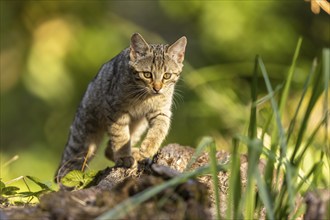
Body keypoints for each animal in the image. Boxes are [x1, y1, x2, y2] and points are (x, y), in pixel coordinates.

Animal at [55, 32, 187, 183]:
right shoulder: (116, 110)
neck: (146, 97)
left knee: (108, 149)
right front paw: (124, 157)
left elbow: (159, 130)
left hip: (138, 126)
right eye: (147, 74)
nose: (157, 88)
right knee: (66, 168)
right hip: (83, 138)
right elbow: (120, 135)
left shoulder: (161, 111)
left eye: (167, 76)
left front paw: (147, 149)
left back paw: (134, 153)